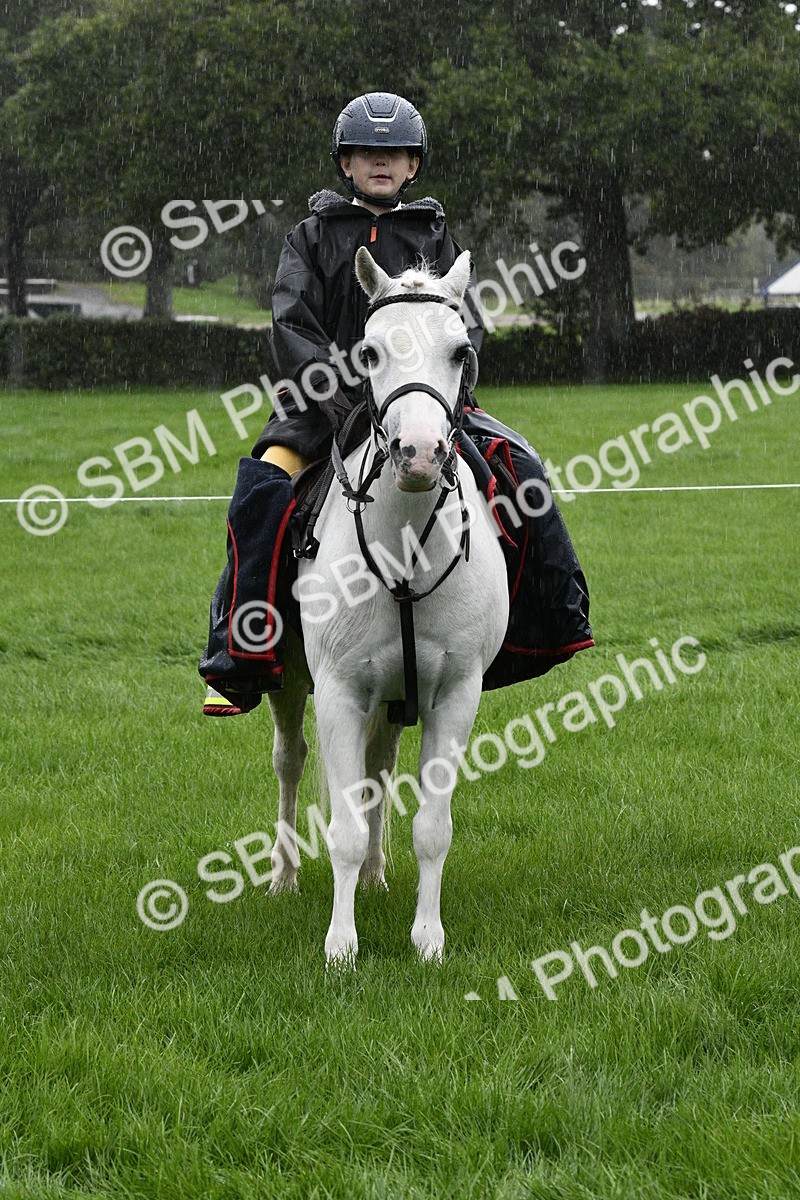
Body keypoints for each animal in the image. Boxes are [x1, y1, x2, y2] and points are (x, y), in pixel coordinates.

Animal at [266, 247, 509, 965]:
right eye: (369, 353)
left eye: (460, 351)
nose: (419, 454)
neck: (402, 551)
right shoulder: (339, 691)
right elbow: (342, 825)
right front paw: (340, 947)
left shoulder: (454, 693)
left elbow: (432, 826)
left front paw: (427, 938)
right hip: (289, 683)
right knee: (289, 762)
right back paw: (283, 876)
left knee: (378, 768)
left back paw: (376, 874)